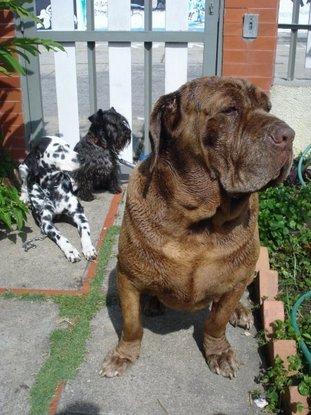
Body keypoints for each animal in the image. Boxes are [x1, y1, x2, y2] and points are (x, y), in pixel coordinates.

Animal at [19, 136, 97, 264]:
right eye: (59, 149)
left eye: (68, 146)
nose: (83, 158)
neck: (52, 187)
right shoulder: (46, 223)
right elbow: (60, 236)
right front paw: (70, 250)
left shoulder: (79, 214)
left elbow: (85, 231)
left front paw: (88, 248)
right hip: (23, 168)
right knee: (24, 185)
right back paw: (25, 198)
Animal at [102, 76, 294, 378]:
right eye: (230, 110)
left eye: (268, 107)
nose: (289, 135)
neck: (199, 222)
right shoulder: (127, 278)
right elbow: (132, 325)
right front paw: (124, 354)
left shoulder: (235, 280)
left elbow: (217, 320)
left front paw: (219, 351)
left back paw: (241, 311)